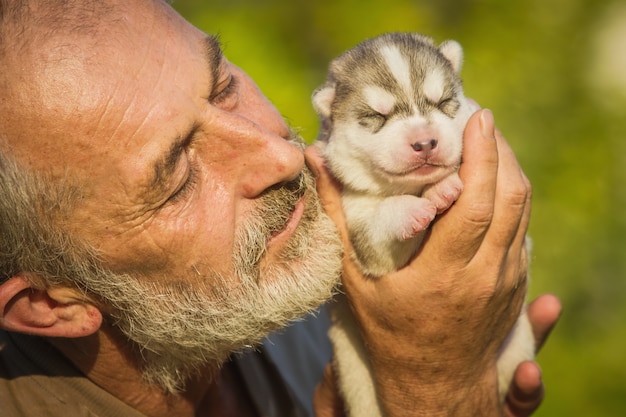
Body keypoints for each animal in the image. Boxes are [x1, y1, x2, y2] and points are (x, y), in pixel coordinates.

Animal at [312, 33, 532, 416]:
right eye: (377, 116)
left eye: (443, 102)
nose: (425, 142)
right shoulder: (361, 227)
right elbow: (383, 223)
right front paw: (417, 208)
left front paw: (444, 185)